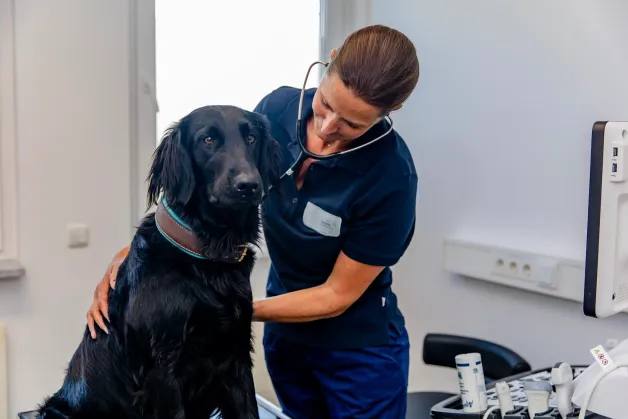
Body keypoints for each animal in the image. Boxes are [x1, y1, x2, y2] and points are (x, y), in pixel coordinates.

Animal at [36, 106, 282, 419]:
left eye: (251, 138)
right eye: (208, 140)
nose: (249, 185)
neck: (204, 254)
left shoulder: (236, 354)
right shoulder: (163, 368)